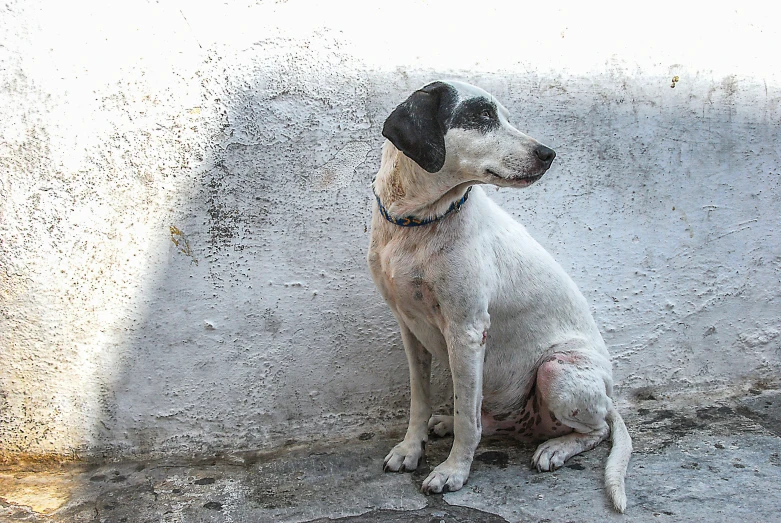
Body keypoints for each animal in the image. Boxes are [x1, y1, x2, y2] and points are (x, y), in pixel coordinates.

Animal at [368, 81, 632, 512]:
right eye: (483, 115)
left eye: (504, 116)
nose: (548, 153)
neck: (418, 222)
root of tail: (610, 397)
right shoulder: (409, 327)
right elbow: (420, 400)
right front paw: (411, 448)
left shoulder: (467, 331)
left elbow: (467, 422)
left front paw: (453, 472)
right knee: (482, 416)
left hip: (556, 368)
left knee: (595, 431)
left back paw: (555, 449)